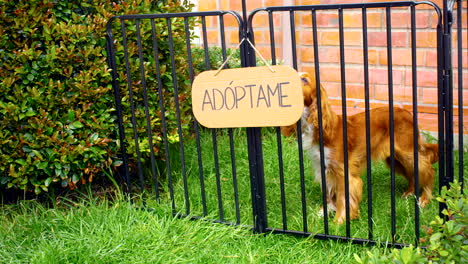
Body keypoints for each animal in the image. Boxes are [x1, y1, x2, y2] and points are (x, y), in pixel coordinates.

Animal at [284, 72, 440, 225]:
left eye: (304, 79)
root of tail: (407, 113)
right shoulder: (324, 168)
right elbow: (329, 193)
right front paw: (324, 211)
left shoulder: (342, 172)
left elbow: (343, 198)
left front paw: (339, 220)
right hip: (394, 159)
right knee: (413, 173)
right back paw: (410, 193)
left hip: (406, 153)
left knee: (428, 169)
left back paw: (425, 198)